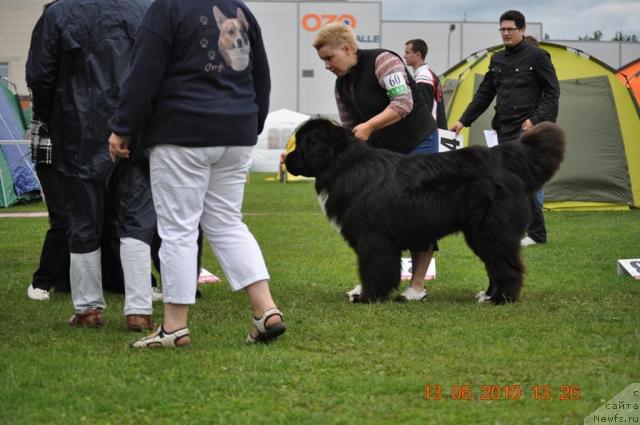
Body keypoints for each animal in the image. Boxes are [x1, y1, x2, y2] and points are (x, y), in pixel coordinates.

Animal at [284, 117, 564, 304]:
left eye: (301, 145)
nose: (285, 159)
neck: (342, 164)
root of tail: (501, 159)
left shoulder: (373, 237)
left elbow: (373, 268)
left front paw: (367, 297)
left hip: (489, 229)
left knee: (505, 264)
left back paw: (500, 298)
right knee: (496, 263)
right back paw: (487, 294)